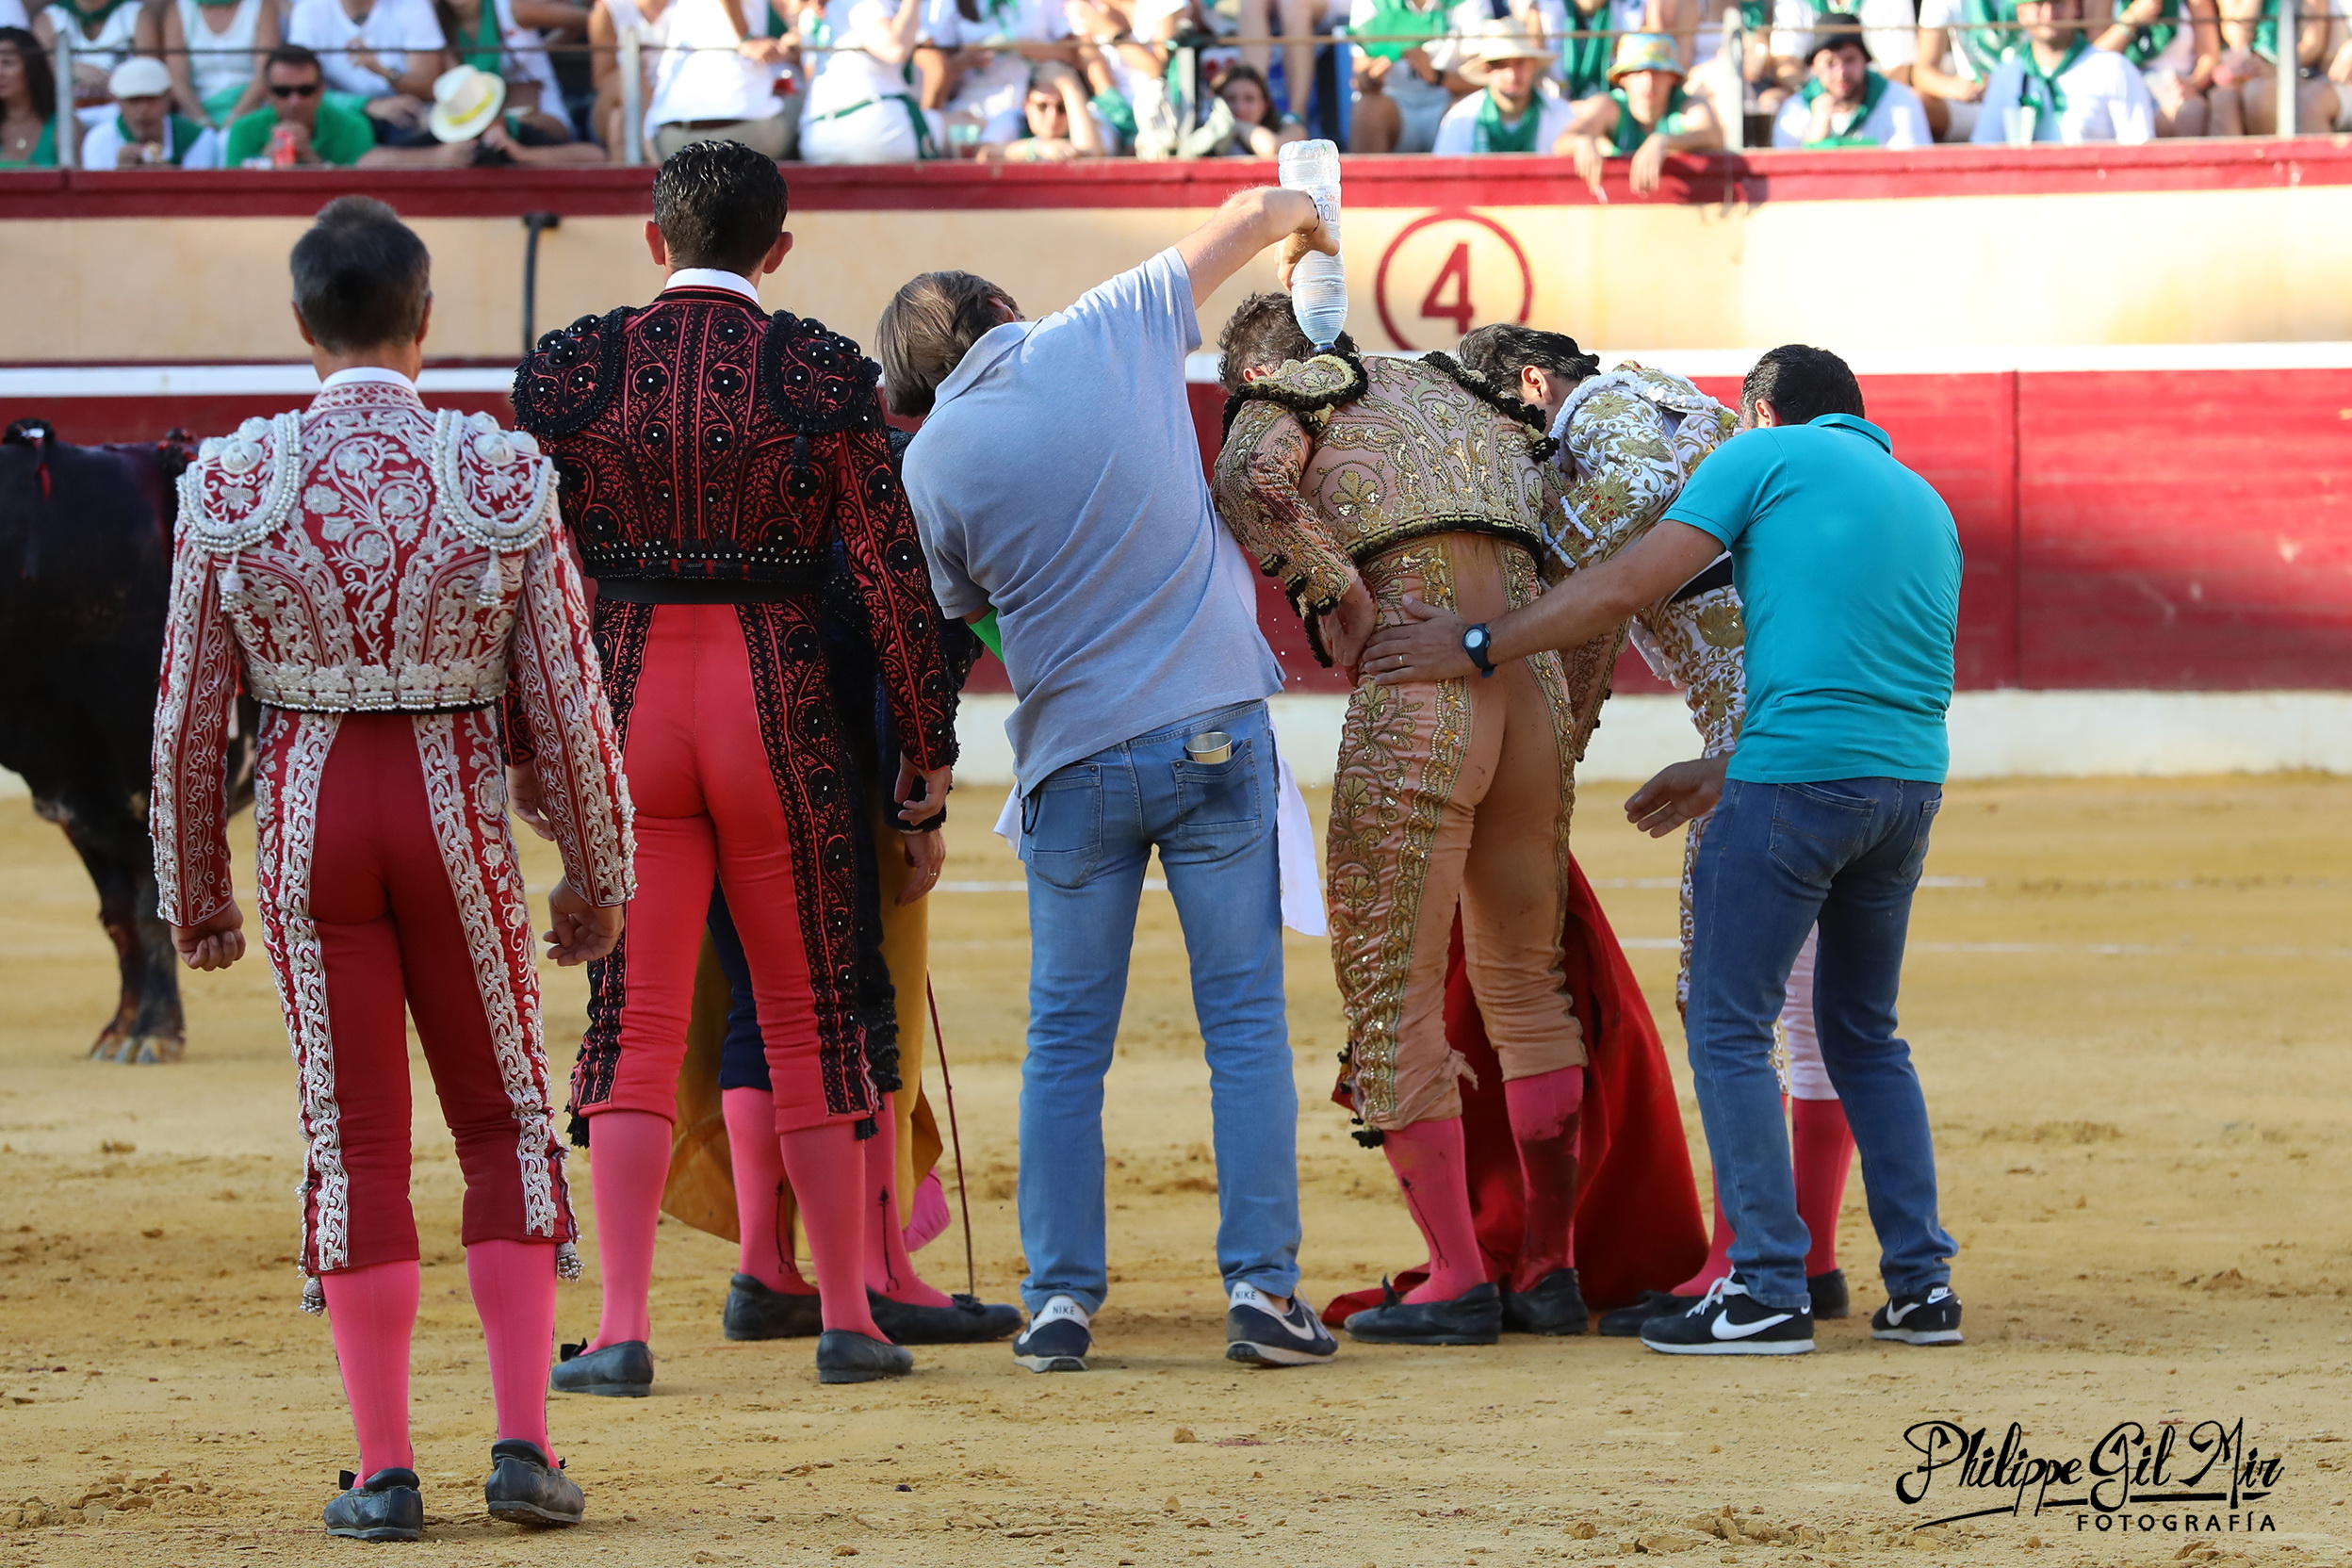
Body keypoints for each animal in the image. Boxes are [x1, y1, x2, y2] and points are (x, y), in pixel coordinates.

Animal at [1, 423, 257, 1067]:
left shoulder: (151, 783)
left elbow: (150, 908)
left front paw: (154, 1034)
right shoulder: (77, 789)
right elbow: (119, 918)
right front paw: (118, 1030)